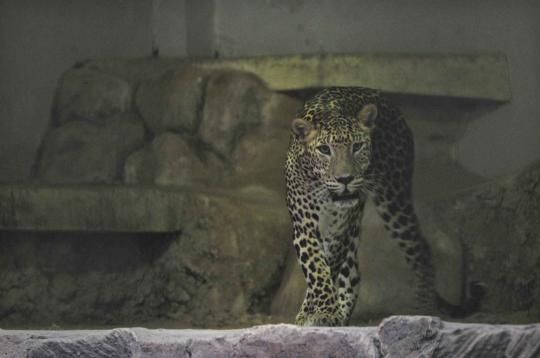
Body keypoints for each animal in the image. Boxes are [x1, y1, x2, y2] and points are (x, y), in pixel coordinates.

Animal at [284, 87, 484, 328]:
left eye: (357, 146)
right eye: (324, 149)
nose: (345, 179)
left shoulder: (339, 229)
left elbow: (326, 268)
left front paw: (324, 313)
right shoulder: (304, 225)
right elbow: (316, 269)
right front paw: (319, 312)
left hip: (394, 199)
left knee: (422, 251)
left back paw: (424, 310)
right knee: (352, 274)